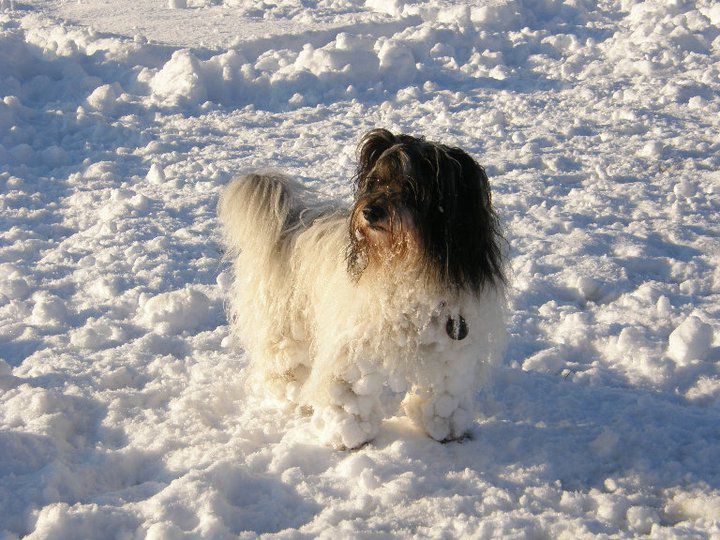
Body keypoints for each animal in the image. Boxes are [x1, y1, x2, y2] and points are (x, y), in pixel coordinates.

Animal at [219, 129, 506, 450]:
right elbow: (349, 390)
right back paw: (294, 397)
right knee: (283, 360)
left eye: (411, 187)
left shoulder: (450, 343)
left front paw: (445, 428)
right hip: (285, 318)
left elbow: (445, 390)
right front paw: (351, 435)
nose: (370, 211)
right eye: (376, 181)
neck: (408, 266)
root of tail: (290, 219)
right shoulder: (355, 342)